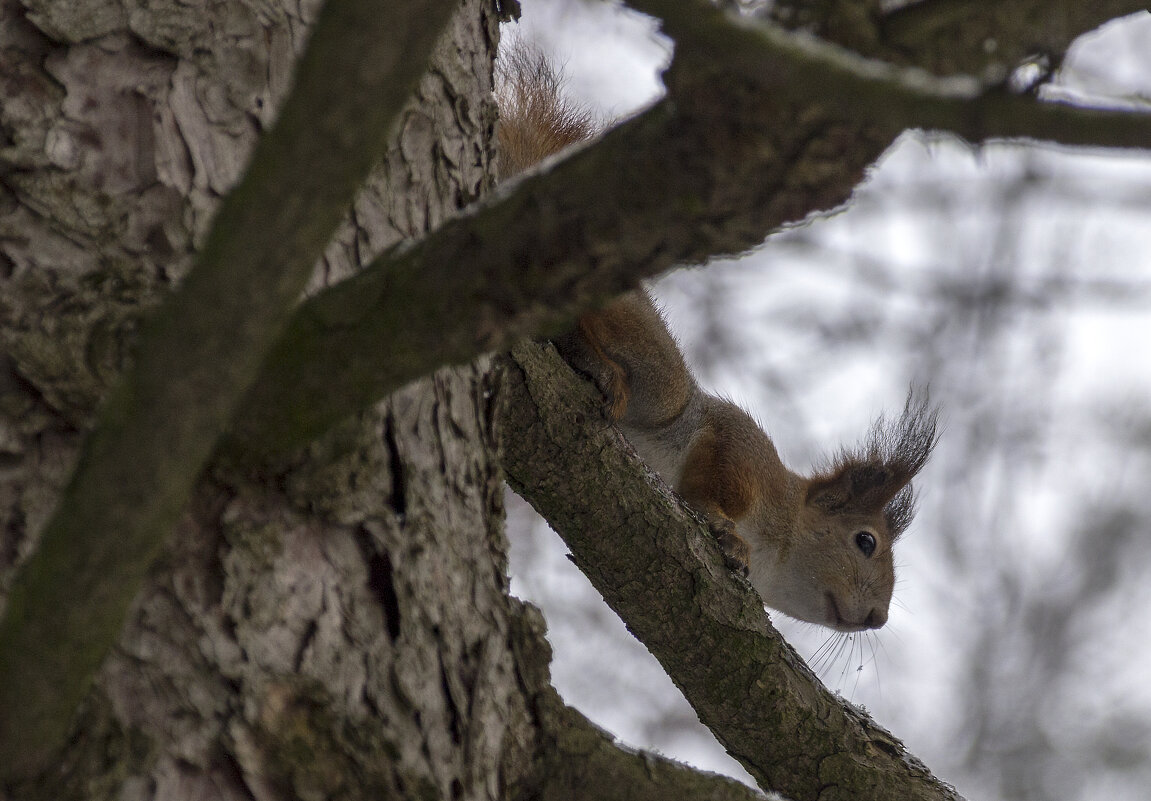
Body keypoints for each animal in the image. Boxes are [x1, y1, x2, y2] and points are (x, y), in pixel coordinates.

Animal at [494, 42, 934, 630]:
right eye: (866, 541)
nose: (877, 619)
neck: (781, 537)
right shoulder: (739, 444)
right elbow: (714, 479)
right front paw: (721, 525)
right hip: (660, 378)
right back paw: (596, 364)